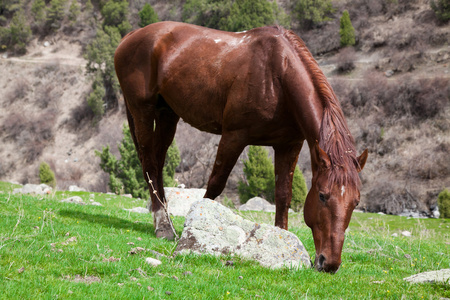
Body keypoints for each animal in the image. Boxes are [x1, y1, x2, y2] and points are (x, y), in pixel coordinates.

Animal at [114, 21, 368, 274]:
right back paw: (164, 227)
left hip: (167, 114)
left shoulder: (288, 146)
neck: (277, 77)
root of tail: (132, 35)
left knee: (157, 163)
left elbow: (283, 195)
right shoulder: (234, 137)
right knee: (149, 163)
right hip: (142, 110)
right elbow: (215, 185)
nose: (329, 263)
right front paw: (195, 229)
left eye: (355, 202)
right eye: (323, 196)